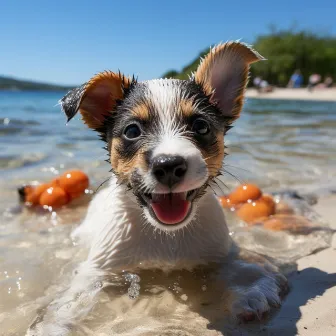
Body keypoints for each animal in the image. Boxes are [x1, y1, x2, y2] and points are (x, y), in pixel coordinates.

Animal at [27, 40, 288, 334]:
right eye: (132, 131)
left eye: (201, 126)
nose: (169, 165)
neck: (166, 237)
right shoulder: (98, 268)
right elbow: (72, 300)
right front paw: (53, 325)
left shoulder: (222, 254)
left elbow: (241, 269)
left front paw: (250, 293)